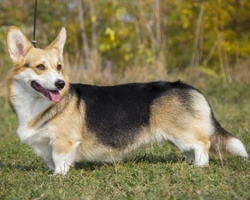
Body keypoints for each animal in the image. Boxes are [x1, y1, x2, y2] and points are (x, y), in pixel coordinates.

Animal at [5, 26, 248, 175]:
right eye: (40, 67)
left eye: (59, 67)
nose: (60, 84)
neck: (37, 104)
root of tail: (190, 88)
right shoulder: (45, 146)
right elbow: (51, 160)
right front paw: (54, 173)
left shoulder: (63, 143)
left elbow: (60, 160)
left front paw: (58, 177)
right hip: (177, 135)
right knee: (192, 148)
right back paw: (189, 164)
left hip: (183, 132)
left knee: (203, 144)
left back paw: (199, 166)